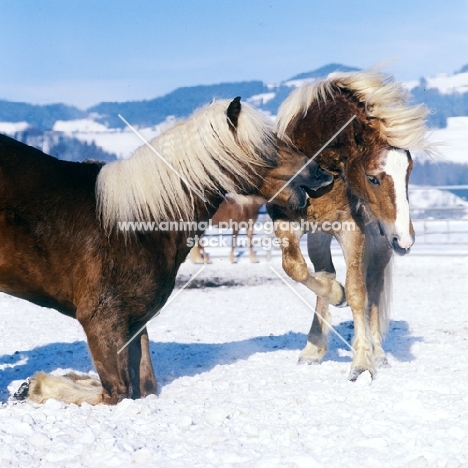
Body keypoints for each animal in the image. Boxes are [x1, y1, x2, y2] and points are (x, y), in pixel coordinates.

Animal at [0, 97, 336, 404]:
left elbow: (145, 386)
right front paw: (37, 386)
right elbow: (117, 393)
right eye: (266, 145)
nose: (322, 174)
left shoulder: (135, 322)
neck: (131, 227)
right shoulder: (102, 323)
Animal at [268, 71, 434, 382]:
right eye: (373, 178)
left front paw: (362, 362)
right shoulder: (287, 224)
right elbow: (296, 269)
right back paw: (314, 347)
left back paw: (377, 352)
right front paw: (335, 295)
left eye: (408, 172)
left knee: (373, 287)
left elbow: (358, 292)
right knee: (323, 271)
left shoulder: (351, 230)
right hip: (323, 237)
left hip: (381, 243)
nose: (406, 240)